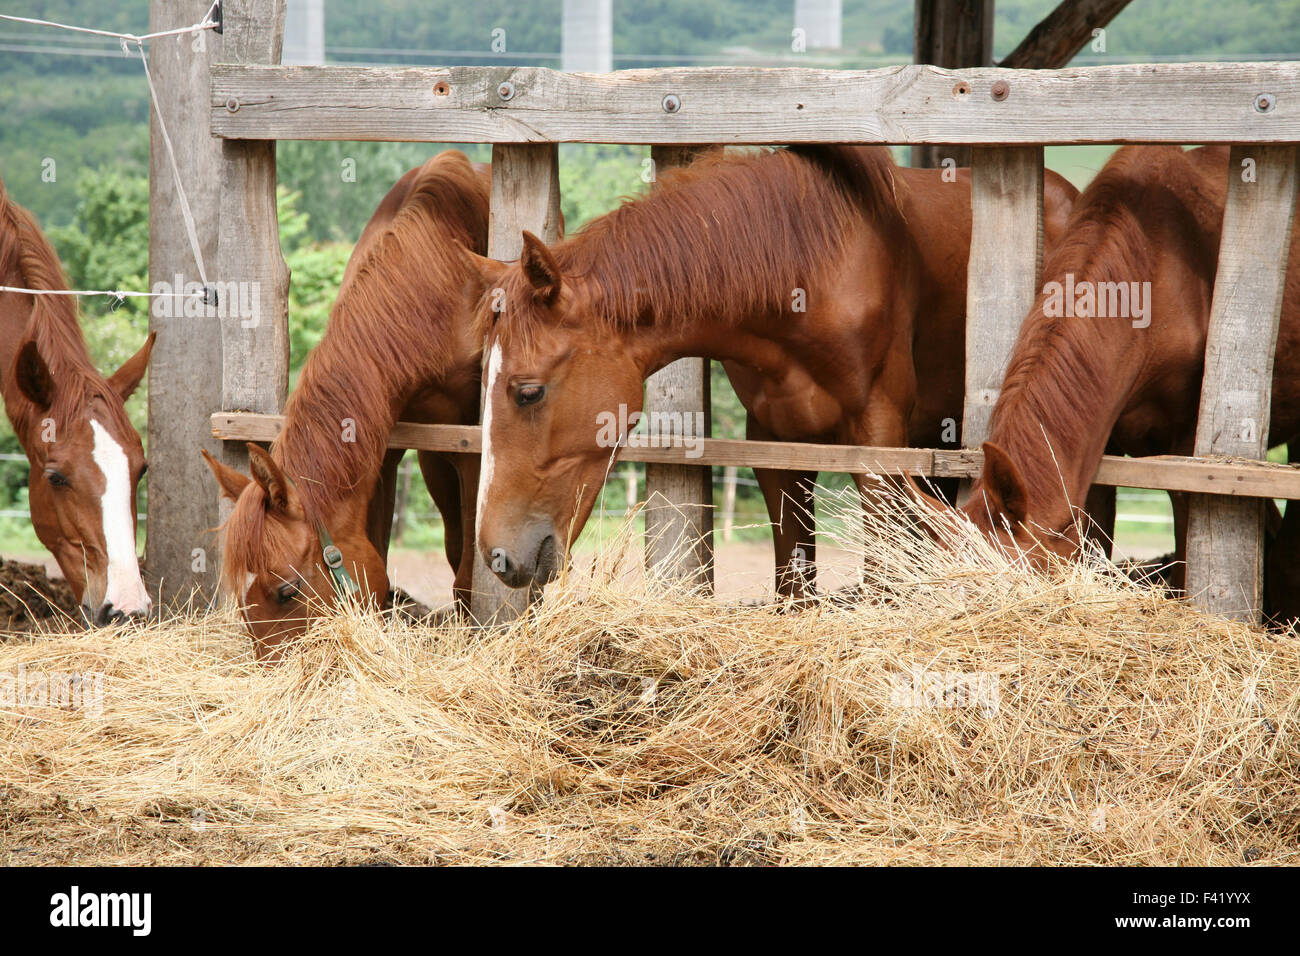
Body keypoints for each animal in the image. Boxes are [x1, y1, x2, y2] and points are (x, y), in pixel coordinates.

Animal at [202, 150, 492, 661]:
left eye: (286, 592)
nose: (272, 669)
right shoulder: (386, 448)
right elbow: (377, 550)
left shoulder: (470, 448)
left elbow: (468, 563)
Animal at [466, 145, 1078, 595]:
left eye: (527, 392)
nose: (497, 555)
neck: (812, 266)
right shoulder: (776, 445)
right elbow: (794, 586)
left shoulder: (879, 443)